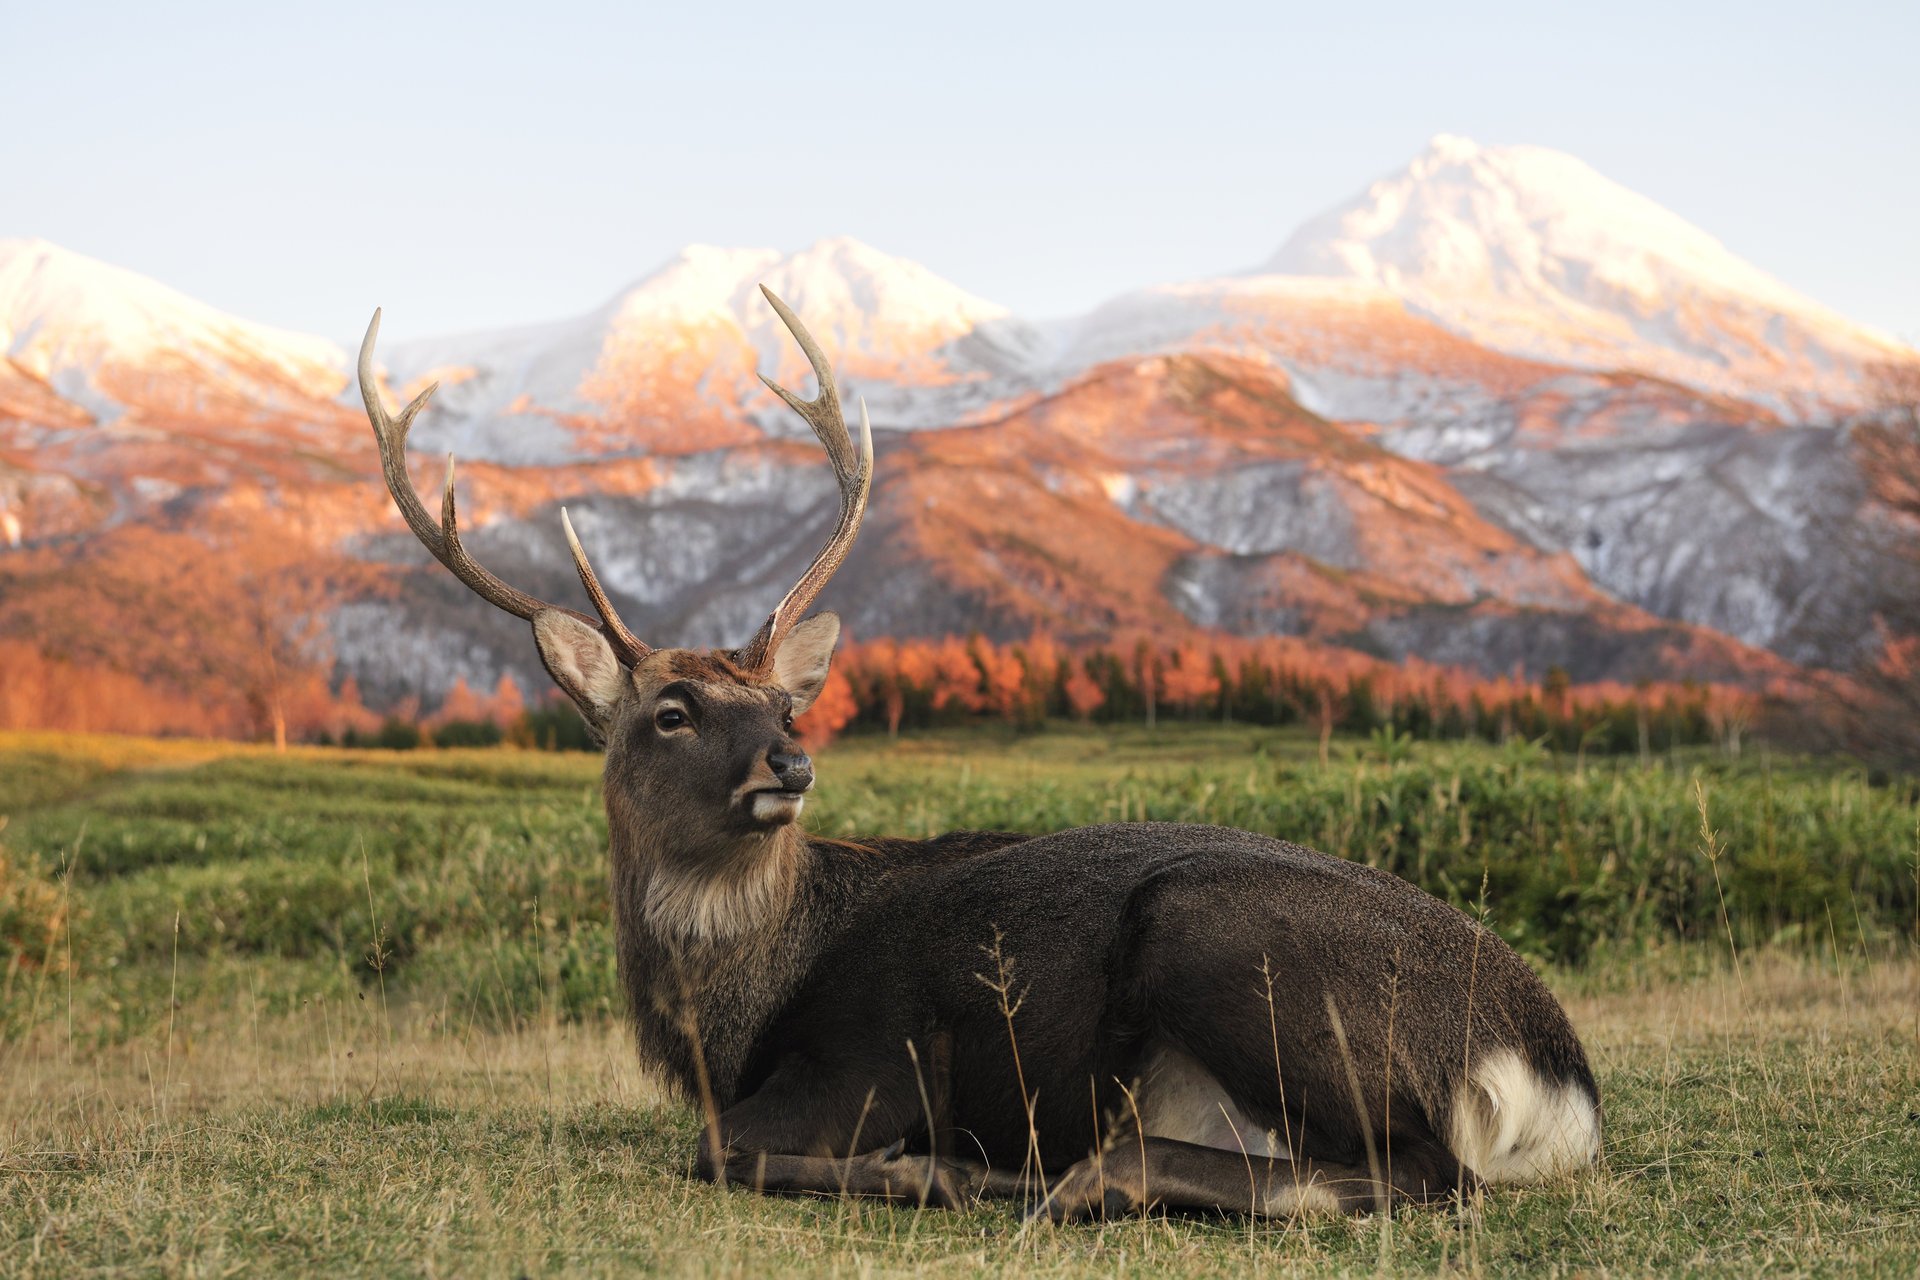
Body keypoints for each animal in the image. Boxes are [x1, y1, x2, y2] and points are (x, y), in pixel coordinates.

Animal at [356, 290, 1600, 1221]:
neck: (731, 1018)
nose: (787, 764)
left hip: (1221, 939)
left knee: (1423, 1171)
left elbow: (716, 1148)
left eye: (783, 701)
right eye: (670, 710)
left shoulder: (869, 1057)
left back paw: (1048, 1174)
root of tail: (1555, 1075)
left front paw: (927, 1166)